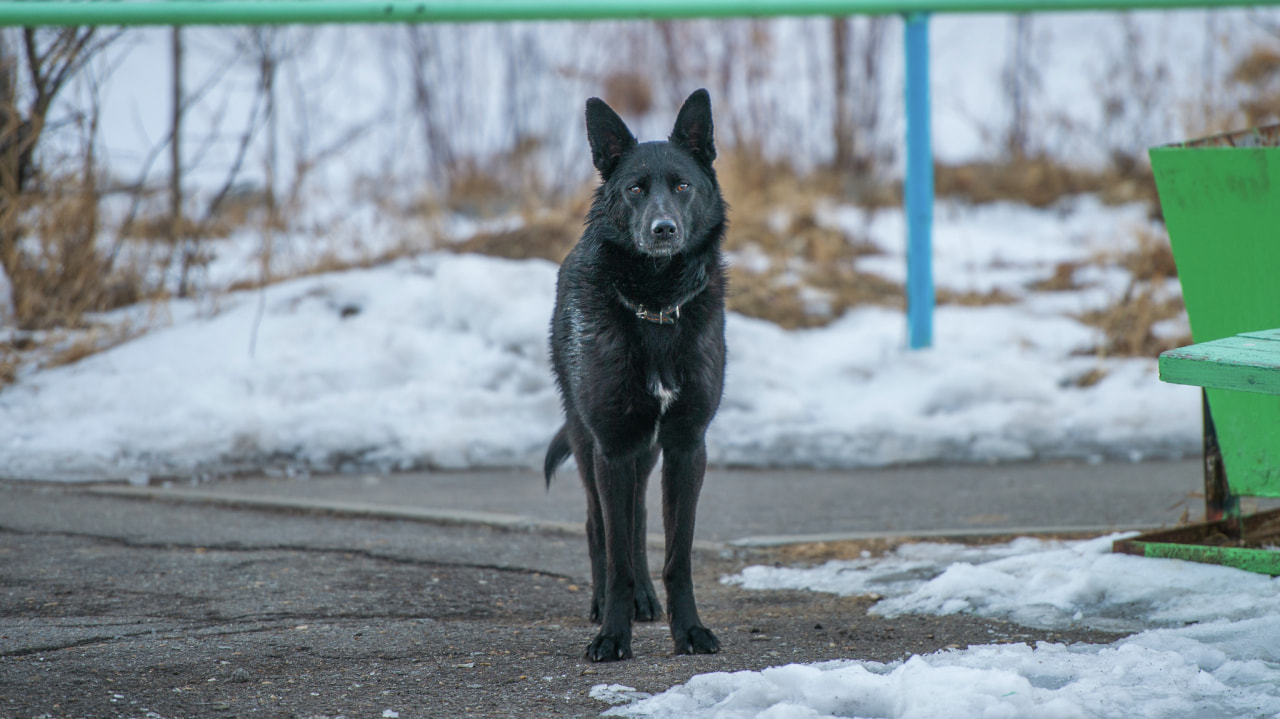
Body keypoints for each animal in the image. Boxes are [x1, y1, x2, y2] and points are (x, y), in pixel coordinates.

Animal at [542, 86, 732, 660]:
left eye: (682, 185)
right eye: (634, 189)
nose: (662, 229)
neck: (656, 305)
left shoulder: (687, 446)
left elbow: (676, 554)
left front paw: (688, 630)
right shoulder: (612, 445)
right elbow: (618, 552)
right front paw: (612, 636)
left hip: (646, 452)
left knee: (639, 518)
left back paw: (647, 601)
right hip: (589, 443)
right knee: (599, 526)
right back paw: (605, 604)